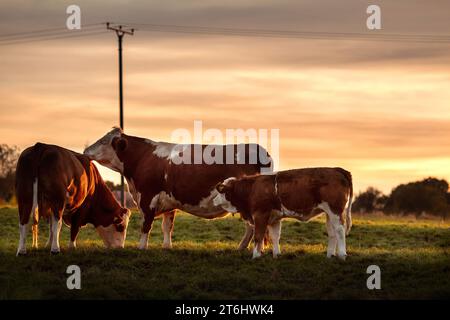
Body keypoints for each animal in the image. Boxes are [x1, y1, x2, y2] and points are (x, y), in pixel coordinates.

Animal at [84, 127, 272, 250]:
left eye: (103, 141)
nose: (85, 150)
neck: (143, 158)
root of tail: (258, 148)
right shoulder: (168, 200)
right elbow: (167, 225)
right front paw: (167, 246)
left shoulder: (148, 197)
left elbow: (146, 225)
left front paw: (141, 247)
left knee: (253, 226)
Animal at [213, 168, 354, 260]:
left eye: (221, 191)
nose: (213, 200)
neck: (252, 188)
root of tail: (337, 169)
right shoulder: (274, 218)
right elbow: (275, 236)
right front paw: (276, 255)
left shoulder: (260, 214)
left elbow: (258, 236)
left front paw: (256, 256)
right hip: (329, 213)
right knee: (332, 233)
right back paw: (330, 255)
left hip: (335, 210)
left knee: (340, 230)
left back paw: (342, 255)